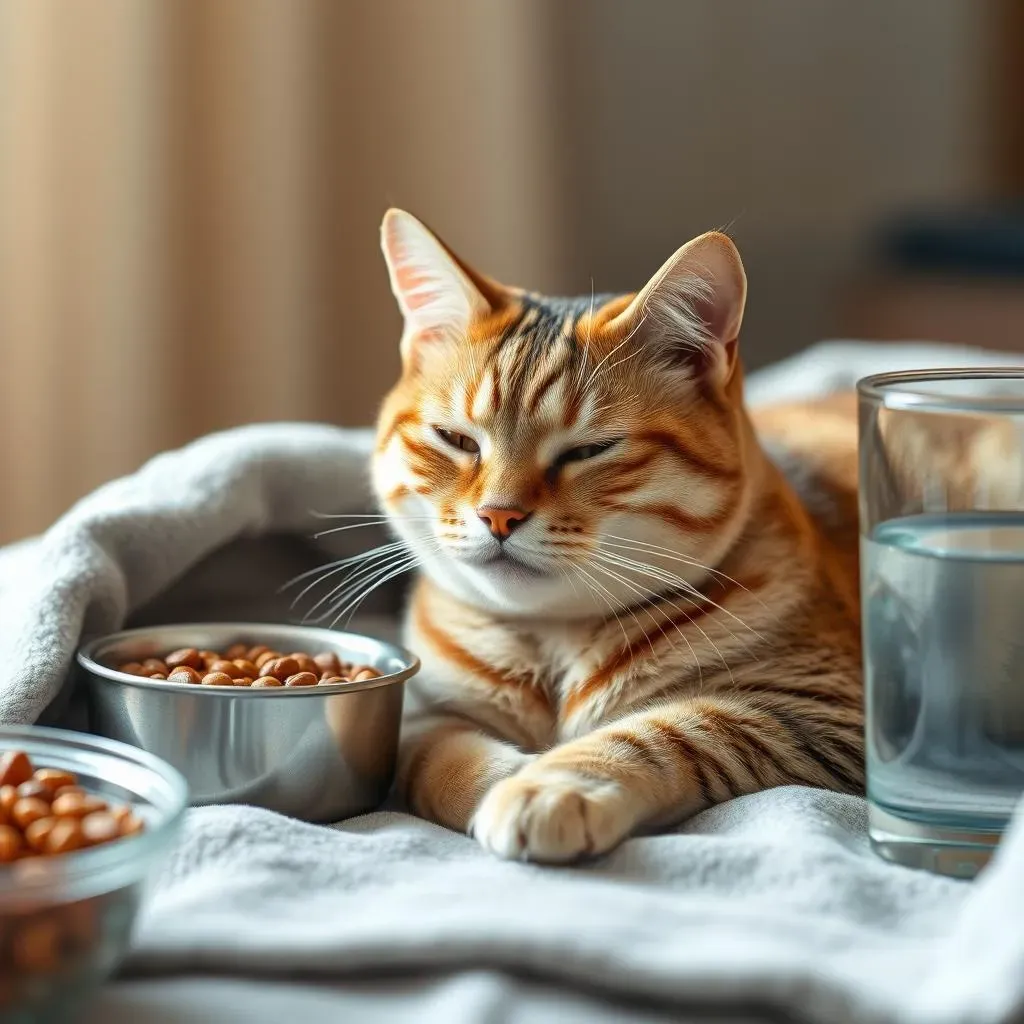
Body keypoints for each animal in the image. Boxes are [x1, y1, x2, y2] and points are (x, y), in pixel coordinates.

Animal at [372, 209, 860, 864]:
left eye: (589, 451)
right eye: (457, 440)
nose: (498, 516)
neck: (552, 645)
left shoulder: (820, 708)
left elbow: (669, 729)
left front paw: (549, 785)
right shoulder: (424, 714)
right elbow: (437, 756)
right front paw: (508, 774)